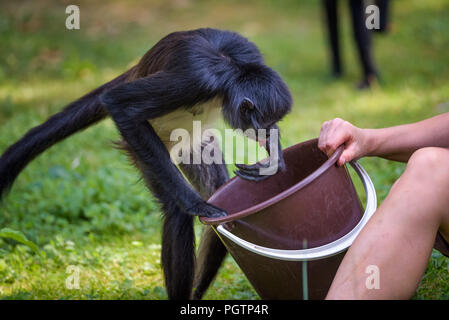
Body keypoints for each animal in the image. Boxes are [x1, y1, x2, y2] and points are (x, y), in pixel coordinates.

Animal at [0, 28, 290, 300]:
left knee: (216, 194)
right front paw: (195, 205)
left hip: (191, 143)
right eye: (264, 123)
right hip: (142, 150)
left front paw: (274, 158)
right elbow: (119, 104)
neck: (232, 68)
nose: (267, 133)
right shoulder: (197, 78)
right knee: (175, 209)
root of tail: (136, 69)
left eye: (272, 124)